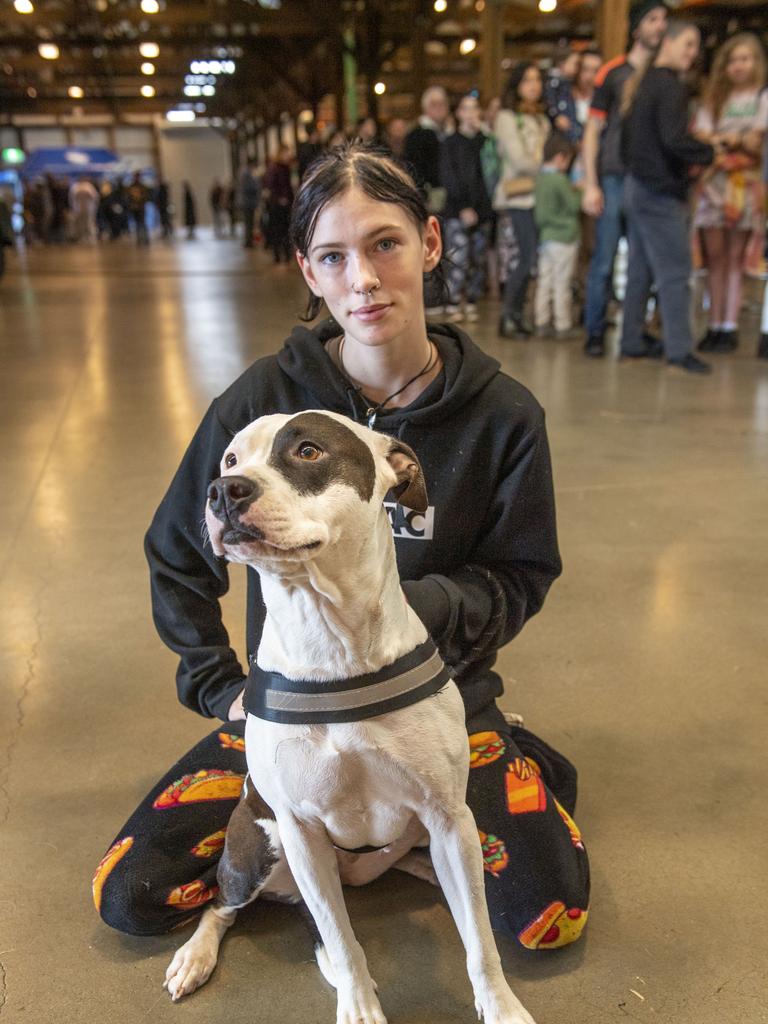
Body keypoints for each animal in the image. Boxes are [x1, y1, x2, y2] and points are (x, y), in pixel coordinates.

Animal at [163, 409, 536, 1024]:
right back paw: (196, 956)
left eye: (309, 451)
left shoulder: (450, 819)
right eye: (231, 459)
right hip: (256, 850)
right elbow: (341, 938)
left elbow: (480, 939)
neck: (332, 639)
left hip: (426, 839)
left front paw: (502, 1007)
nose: (222, 491)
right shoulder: (302, 834)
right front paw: (358, 1003)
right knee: (225, 904)